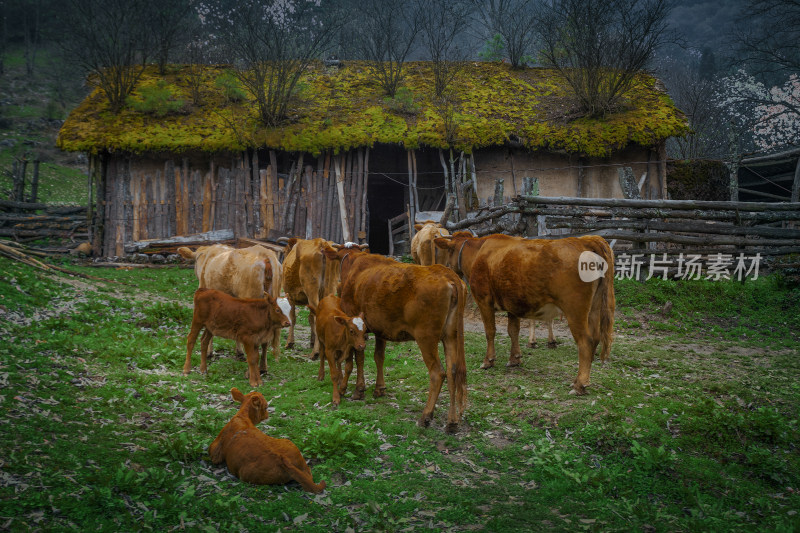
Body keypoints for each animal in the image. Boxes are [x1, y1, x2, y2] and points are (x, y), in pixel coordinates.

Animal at [320, 245, 466, 432]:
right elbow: (379, 357)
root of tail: (446, 272)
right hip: (451, 336)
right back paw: (452, 422)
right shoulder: (380, 329)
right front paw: (379, 388)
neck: (353, 264)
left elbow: (358, 358)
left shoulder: (356, 324)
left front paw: (357, 390)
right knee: (452, 371)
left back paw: (425, 416)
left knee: (438, 373)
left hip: (426, 337)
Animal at [434, 231, 616, 392]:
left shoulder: (484, 301)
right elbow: (513, 331)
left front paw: (488, 361)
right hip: (594, 308)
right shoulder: (512, 305)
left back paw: (580, 383)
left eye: (448, 251)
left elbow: (490, 331)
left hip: (575, 311)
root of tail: (584, 240)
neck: (480, 253)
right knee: (596, 338)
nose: (447, 267)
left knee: (586, 341)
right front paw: (515, 359)